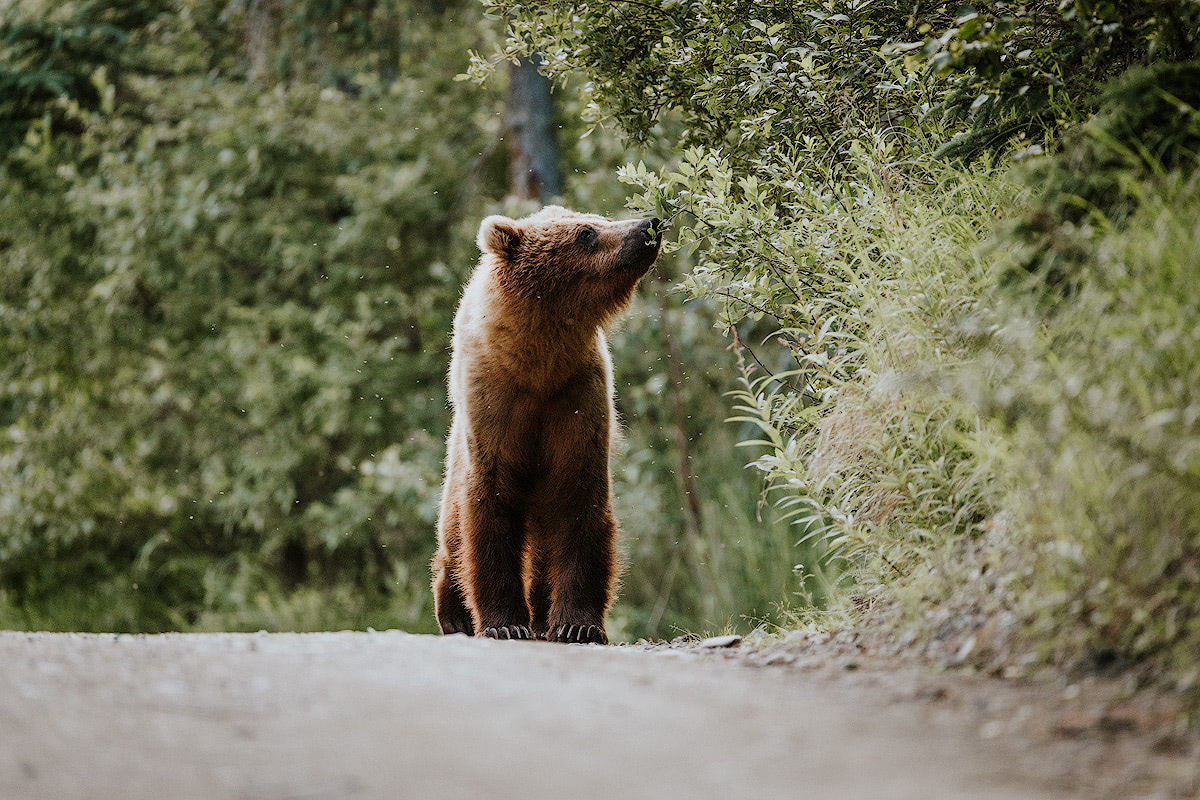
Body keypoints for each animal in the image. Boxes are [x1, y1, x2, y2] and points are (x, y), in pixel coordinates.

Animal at [432, 206, 662, 642]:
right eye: (586, 232)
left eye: (602, 218)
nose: (648, 225)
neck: (538, 363)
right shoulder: (495, 405)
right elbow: (490, 508)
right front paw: (504, 624)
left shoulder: (576, 400)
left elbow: (580, 504)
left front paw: (577, 625)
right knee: (453, 529)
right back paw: (454, 615)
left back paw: (540, 616)